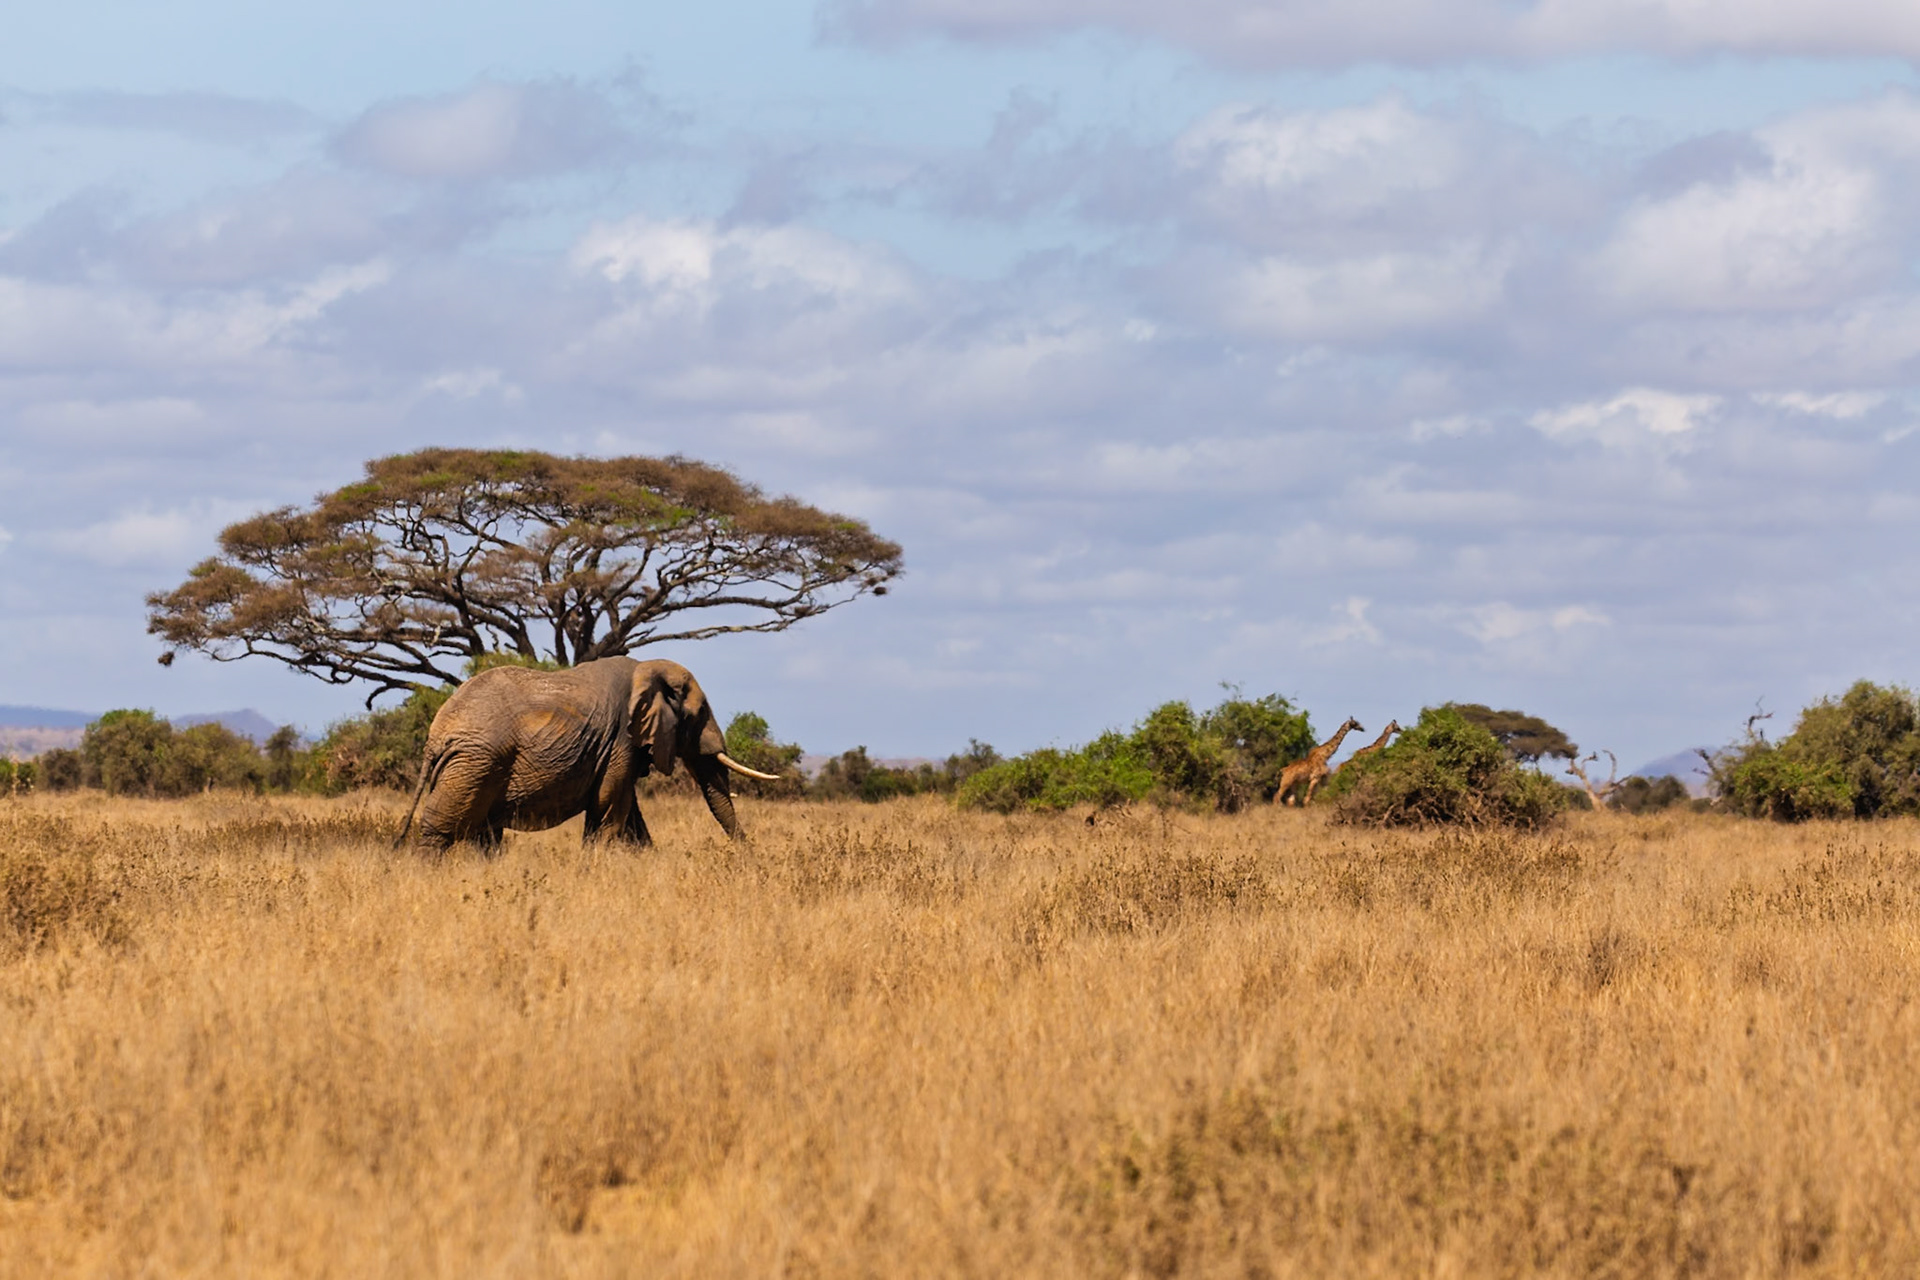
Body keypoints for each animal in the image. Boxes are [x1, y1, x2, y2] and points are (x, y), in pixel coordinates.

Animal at [395, 656, 779, 852]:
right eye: (698, 715)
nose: (748, 855)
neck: (647, 667)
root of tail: (436, 735)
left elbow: (628, 811)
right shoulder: (621, 739)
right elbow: (610, 806)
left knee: (481, 834)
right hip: (475, 762)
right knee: (442, 828)